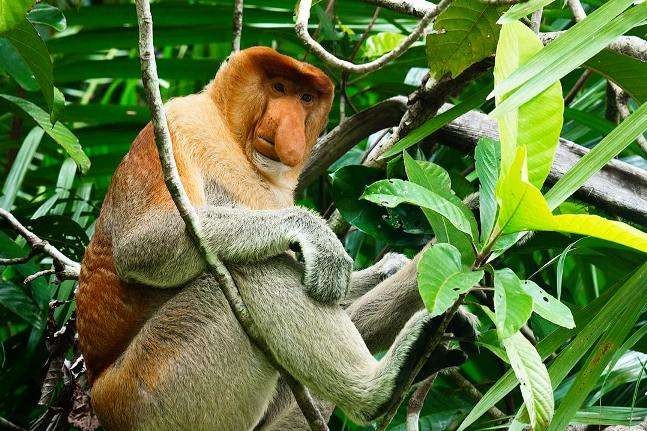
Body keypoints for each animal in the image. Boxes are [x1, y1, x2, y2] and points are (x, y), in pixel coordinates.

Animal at [76, 46, 469, 431]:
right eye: (279, 88)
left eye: (306, 98)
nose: (288, 127)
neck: (234, 140)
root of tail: (97, 391)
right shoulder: (177, 124)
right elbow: (141, 243)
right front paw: (318, 238)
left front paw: (391, 268)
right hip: (152, 390)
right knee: (250, 268)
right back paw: (381, 386)